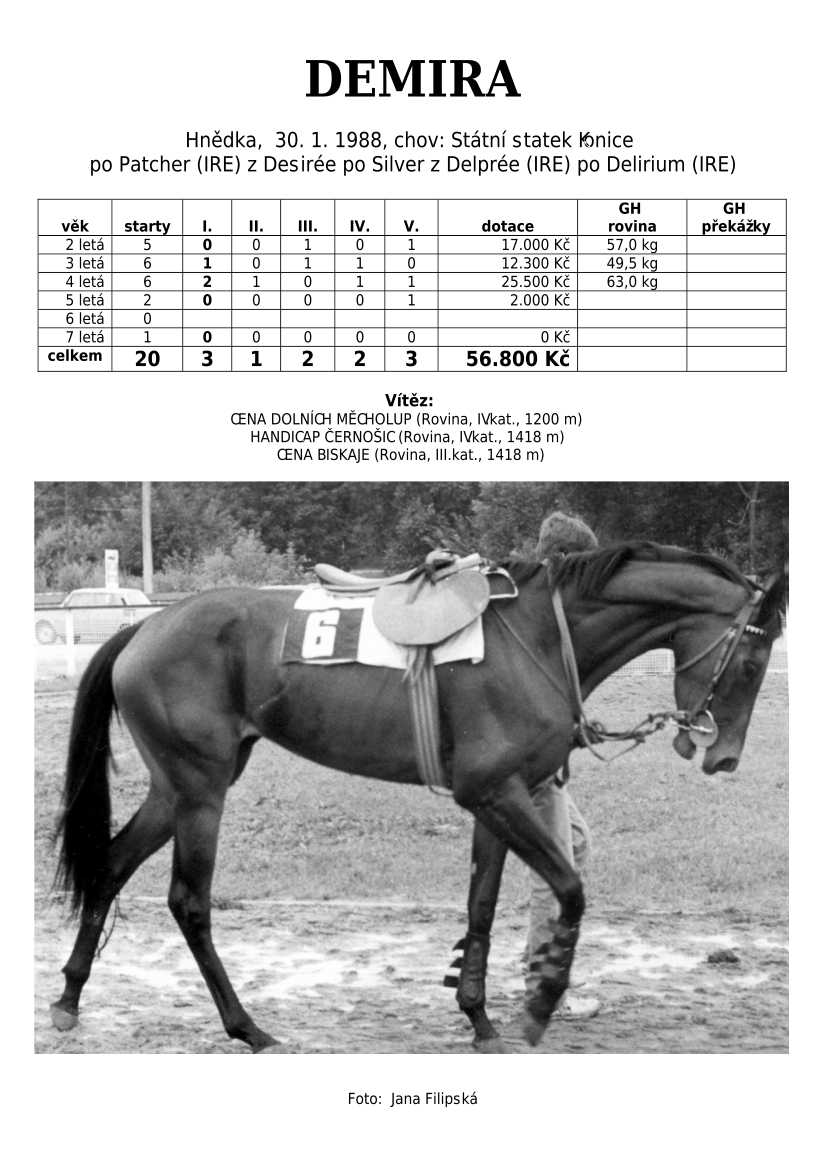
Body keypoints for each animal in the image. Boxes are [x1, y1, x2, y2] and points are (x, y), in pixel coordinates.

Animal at [50, 542, 786, 1052]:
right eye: (752, 660)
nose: (723, 754)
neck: (540, 637)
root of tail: (145, 629)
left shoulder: (501, 800)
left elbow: (483, 905)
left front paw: (479, 1013)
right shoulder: (495, 793)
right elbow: (571, 890)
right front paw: (540, 1001)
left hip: (178, 787)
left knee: (110, 866)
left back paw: (70, 996)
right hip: (199, 789)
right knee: (189, 901)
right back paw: (246, 1025)